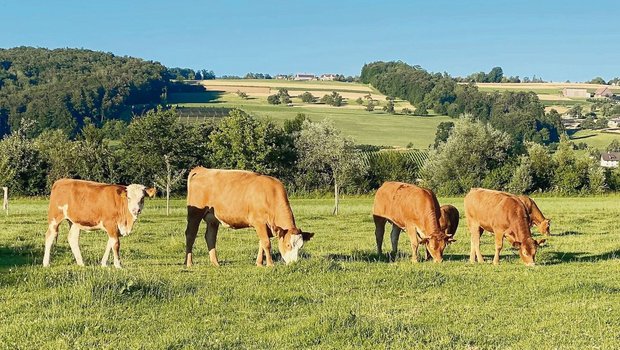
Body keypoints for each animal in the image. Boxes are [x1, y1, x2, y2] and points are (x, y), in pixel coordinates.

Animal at [182, 168, 312, 266]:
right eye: (288, 245)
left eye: (301, 246)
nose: (294, 263)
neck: (270, 195)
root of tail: (202, 169)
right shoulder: (259, 222)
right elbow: (266, 243)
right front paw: (270, 264)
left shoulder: (266, 226)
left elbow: (261, 243)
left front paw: (259, 263)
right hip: (194, 214)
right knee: (190, 235)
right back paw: (189, 263)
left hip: (212, 219)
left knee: (210, 237)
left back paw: (215, 263)